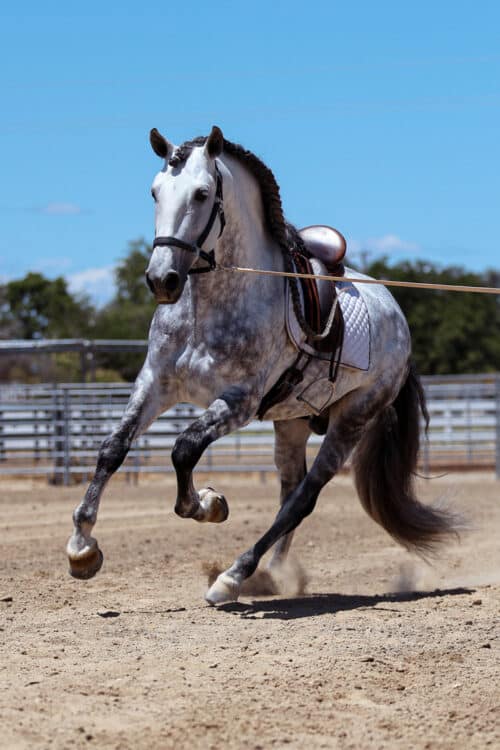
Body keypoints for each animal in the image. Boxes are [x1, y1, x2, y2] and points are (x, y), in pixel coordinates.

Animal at [66, 125, 456, 605]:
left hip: (350, 422)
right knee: (290, 491)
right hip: (292, 422)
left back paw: (232, 577)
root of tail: (398, 318)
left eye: (202, 193)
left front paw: (209, 505)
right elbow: (113, 449)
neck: (211, 307)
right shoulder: (155, 384)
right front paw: (82, 548)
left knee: (303, 498)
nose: (162, 280)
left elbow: (184, 449)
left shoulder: (239, 401)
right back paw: (270, 575)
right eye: (155, 192)